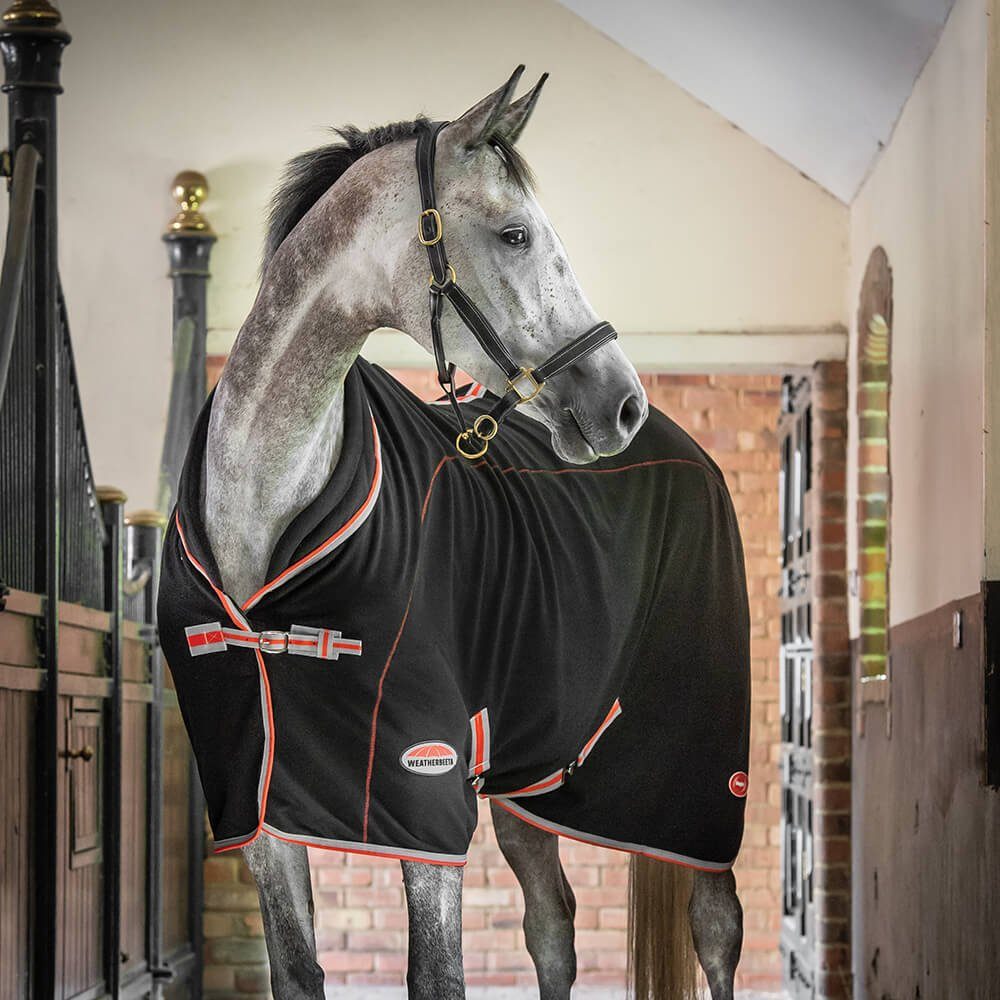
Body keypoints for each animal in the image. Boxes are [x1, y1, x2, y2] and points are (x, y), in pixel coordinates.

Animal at [156, 67, 747, 1000]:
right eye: (515, 233)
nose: (621, 402)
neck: (264, 513)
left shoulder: (420, 800)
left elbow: (436, 976)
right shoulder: (257, 810)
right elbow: (300, 971)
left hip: (697, 787)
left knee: (715, 930)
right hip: (534, 773)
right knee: (553, 928)